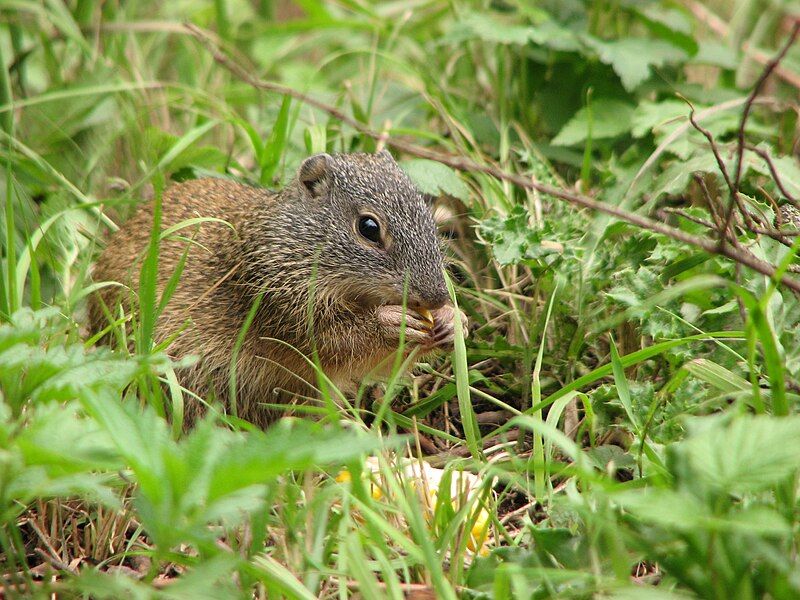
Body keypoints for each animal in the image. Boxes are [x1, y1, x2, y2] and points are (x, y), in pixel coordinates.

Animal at [92, 150, 468, 424]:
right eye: (369, 227)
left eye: (427, 214)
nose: (436, 295)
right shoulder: (285, 307)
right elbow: (338, 340)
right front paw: (392, 321)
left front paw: (454, 320)